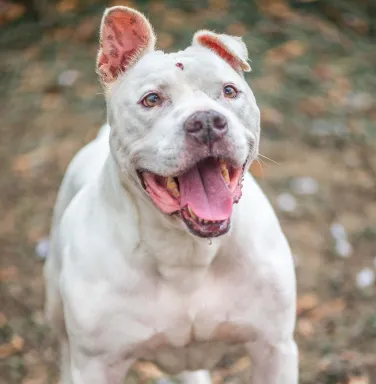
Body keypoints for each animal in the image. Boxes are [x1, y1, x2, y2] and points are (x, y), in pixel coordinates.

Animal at [43, 6, 296, 384]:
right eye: (151, 99)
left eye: (229, 91)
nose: (206, 122)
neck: (185, 252)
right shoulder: (95, 365)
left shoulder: (274, 348)